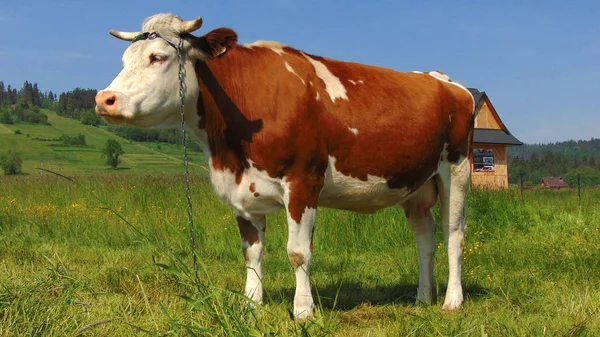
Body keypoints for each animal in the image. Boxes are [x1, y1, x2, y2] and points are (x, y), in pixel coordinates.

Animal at [96, 12, 476, 318]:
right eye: (124, 59)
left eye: (157, 57)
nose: (104, 99)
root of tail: (445, 80)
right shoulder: (242, 193)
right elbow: (251, 253)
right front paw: (251, 305)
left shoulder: (303, 182)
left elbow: (298, 252)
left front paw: (303, 310)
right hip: (417, 185)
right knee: (425, 236)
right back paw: (423, 297)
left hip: (457, 168)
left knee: (454, 234)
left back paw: (451, 301)